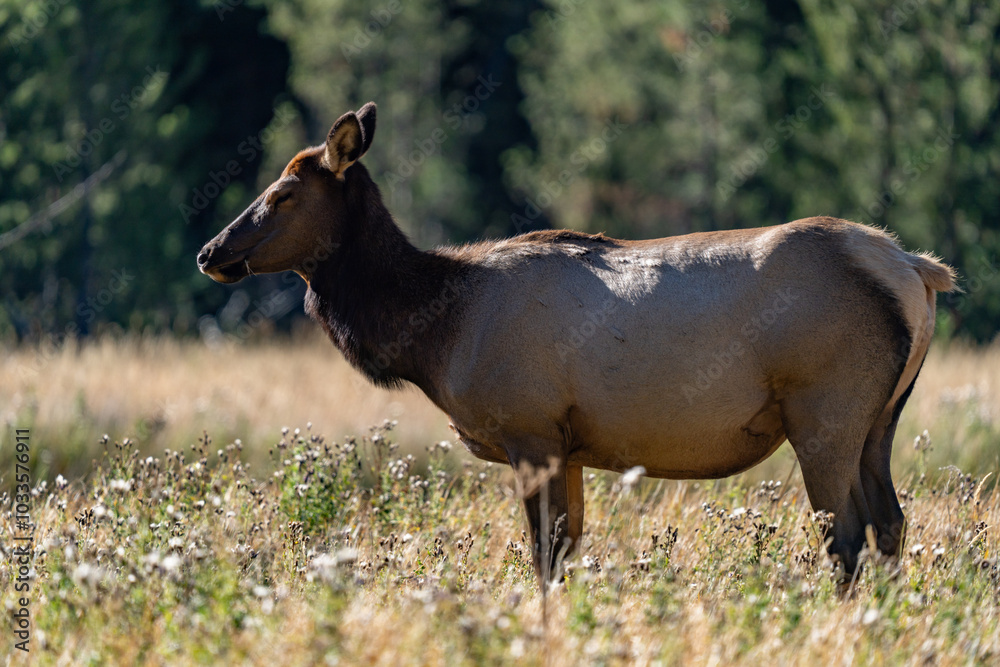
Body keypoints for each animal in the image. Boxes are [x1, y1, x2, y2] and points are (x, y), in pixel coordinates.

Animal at [198, 102, 957, 585]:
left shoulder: (530, 428)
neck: (437, 333)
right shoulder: (568, 442)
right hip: (880, 418)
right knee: (891, 525)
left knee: (847, 538)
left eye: (283, 193)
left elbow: (544, 554)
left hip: (824, 407)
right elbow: (567, 552)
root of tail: (917, 270)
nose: (211, 252)